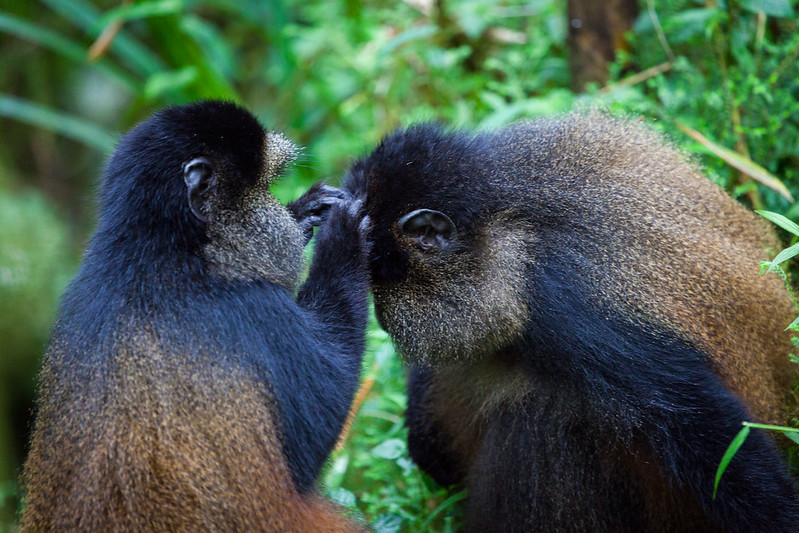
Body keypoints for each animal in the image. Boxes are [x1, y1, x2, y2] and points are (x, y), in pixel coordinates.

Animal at [20, 100, 370, 532]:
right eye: (264, 187)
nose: (286, 215)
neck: (159, 250)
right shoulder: (258, 314)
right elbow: (316, 432)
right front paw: (344, 237)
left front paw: (306, 211)